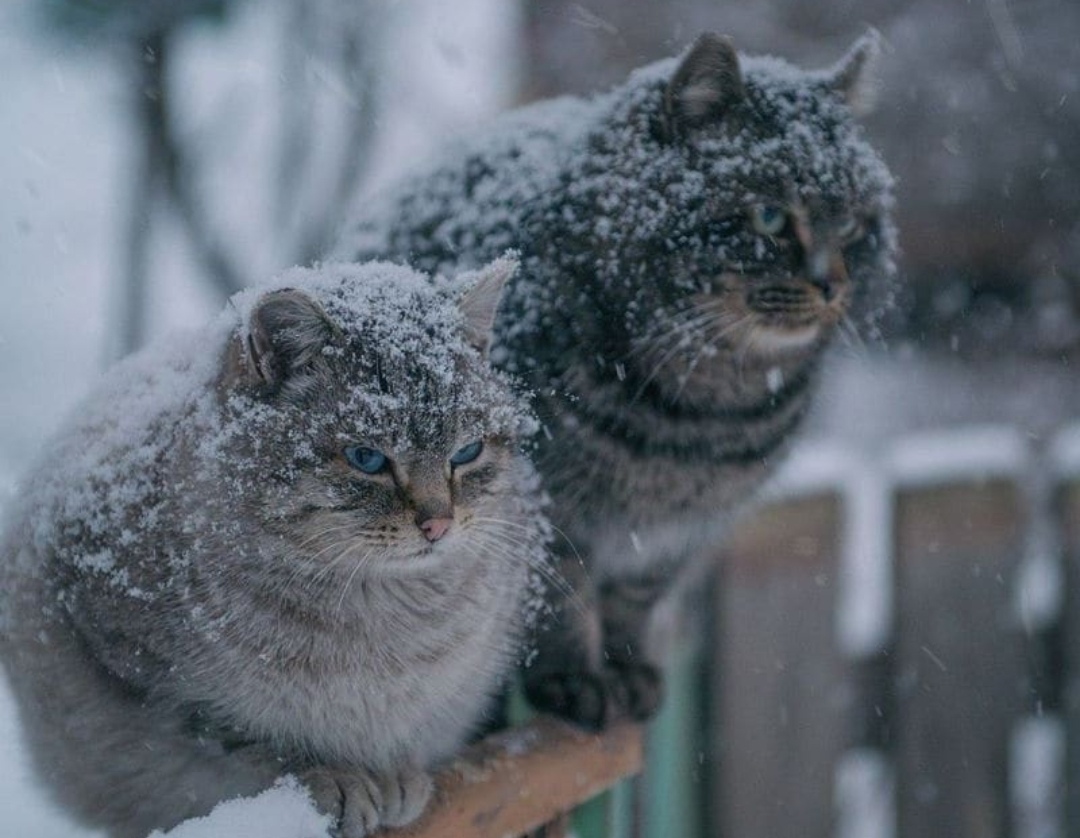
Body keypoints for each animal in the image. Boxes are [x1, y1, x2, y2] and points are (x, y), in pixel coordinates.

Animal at [0, 257, 544, 838]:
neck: (379, 613)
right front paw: (339, 776)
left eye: (466, 452)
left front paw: (394, 774)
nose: (438, 525)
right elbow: (253, 741)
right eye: (367, 458)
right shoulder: (148, 674)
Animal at [336, 32, 894, 725]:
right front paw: (576, 680)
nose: (832, 284)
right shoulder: (550, 510)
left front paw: (628, 671)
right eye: (769, 217)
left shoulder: (676, 534)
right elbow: (562, 601)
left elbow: (634, 601)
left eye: (853, 225)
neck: (706, 415)